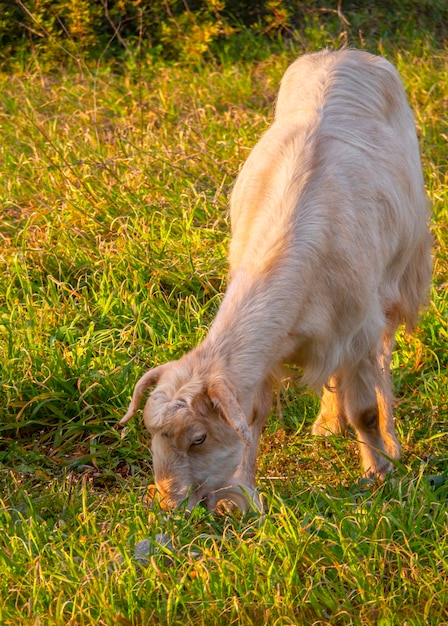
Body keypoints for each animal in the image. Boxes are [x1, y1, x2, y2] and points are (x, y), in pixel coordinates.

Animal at [121, 47, 432, 508]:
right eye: (152, 435)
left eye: (198, 438)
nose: (169, 504)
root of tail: (342, 51)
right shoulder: (271, 352)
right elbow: (252, 416)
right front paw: (242, 496)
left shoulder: (358, 328)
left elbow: (365, 409)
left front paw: (379, 472)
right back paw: (327, 425)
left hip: (400, 275)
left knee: (384, 358)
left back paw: (389, 441)